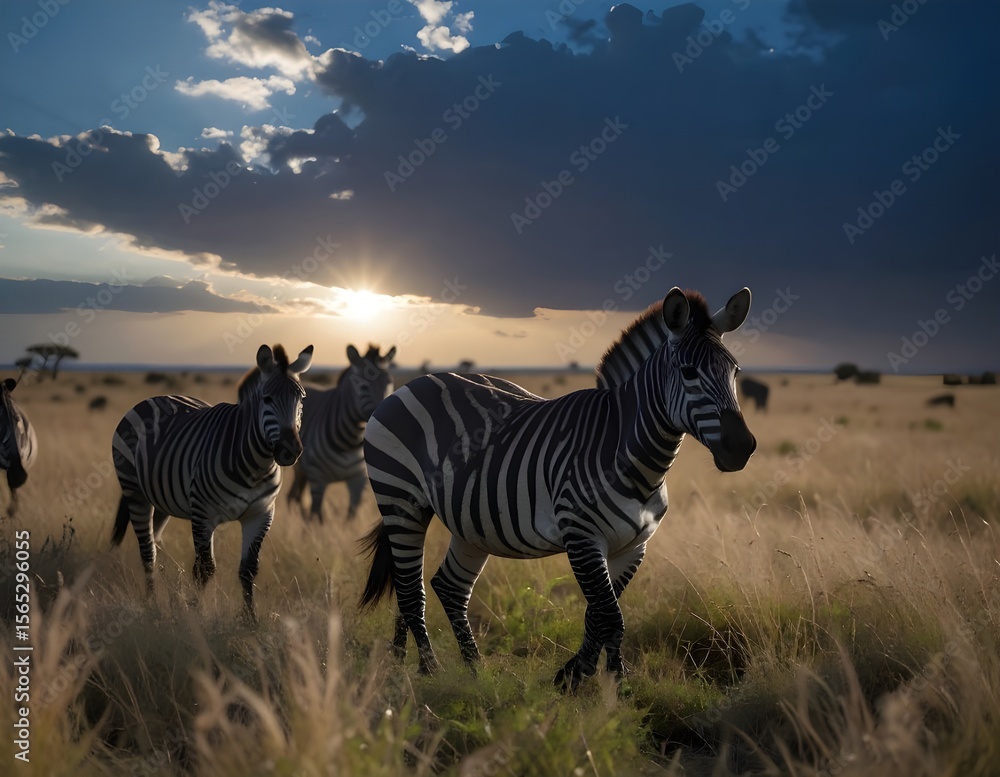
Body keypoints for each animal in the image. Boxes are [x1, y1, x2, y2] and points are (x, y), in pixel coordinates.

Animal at [111, 344, 313, 620]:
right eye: (267, 399)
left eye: (301, 400)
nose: (290, 451)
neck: (255, 466)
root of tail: (153, 398)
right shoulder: (203, 514)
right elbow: (205, 568)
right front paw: (194, 614)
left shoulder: (261, 514)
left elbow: (248, 568)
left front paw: (250, 620)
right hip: (134, 490)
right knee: (147, 550)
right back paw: (151, 602)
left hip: (161, 499)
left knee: (155, 540)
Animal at [287, 344, 396, 523]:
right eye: (363, 386)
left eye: (389, 383)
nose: (385, 421)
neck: (351, 441)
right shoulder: (318, 479)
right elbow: (316, 515)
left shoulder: (359, 481)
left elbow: (350, 517)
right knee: (294, 498)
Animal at [359, 287, 757, 690]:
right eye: (689, 372)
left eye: (736, 372)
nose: (742, 447)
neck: (631, 456)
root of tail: (410, 385)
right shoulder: (582, 535)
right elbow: (610, 617)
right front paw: (614, 690)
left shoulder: (633, 546)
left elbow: (599, 614)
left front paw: (576, 676)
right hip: (401, 500)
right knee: (410, 591)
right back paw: (428, 668)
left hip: (470, 523)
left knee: (449, 587)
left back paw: (466, 669)